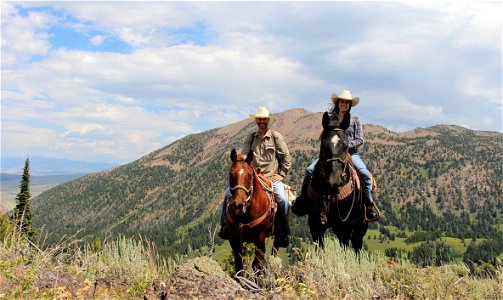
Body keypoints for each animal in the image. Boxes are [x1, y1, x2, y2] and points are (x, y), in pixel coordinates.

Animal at [302, 111, 368, 252]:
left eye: (346, 146)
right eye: (323, 145)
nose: (333, 183)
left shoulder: (345, 226)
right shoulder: (315, 226)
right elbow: (319, 249)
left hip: (360, 226)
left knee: (357, 247)